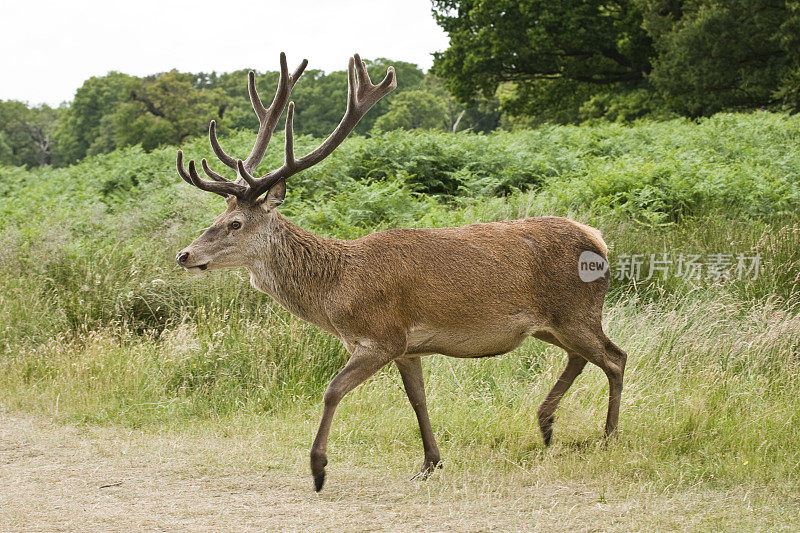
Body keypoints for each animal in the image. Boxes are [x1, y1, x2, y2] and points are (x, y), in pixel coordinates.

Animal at [173, 53, 624, 490]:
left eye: (235, 224)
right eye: (219, 216)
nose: (184, 255)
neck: (337, 291)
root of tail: (598, 238)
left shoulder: (382, 336)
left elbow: (332, 390)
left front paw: (318, 468)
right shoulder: (409, 347)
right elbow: (417, 399)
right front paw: (429, 464)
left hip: (576, 311)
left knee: (614, 357)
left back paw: (608, 438)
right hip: (552, 323)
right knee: (583, 357)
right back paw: (546, 424)